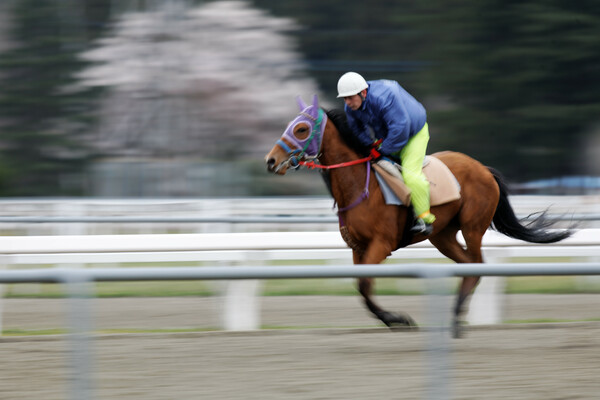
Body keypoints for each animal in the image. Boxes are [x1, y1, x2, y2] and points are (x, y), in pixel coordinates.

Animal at [264, 94, 572, 338]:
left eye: (301, 128)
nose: (270, 161)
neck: (360, 186)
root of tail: (484, 168)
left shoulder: (382, 243)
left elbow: (364, 285)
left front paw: (398, 319)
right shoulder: (357, 247)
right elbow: (363, 289)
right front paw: (394, 320)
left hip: (473, 227)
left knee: (476, 265)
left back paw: (456, 320)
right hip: (443, 235)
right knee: (466, 266)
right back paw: (455, 316)